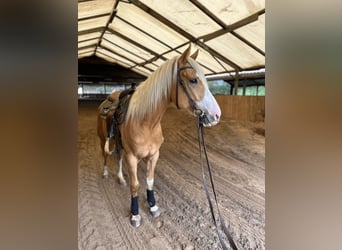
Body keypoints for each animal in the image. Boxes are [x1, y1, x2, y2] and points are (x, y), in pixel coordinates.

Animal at [97, 44, 220, 227]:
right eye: (193, 80)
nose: (216, 115)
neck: (145, 122)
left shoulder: (154, 155)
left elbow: (149, 181)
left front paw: (153, 206)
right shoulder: (132, 157)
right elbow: (135, 185)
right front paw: (135, 215)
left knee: (118, 157)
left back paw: (120, 178)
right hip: (102, 139)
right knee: (105, 155)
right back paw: (105, 173)